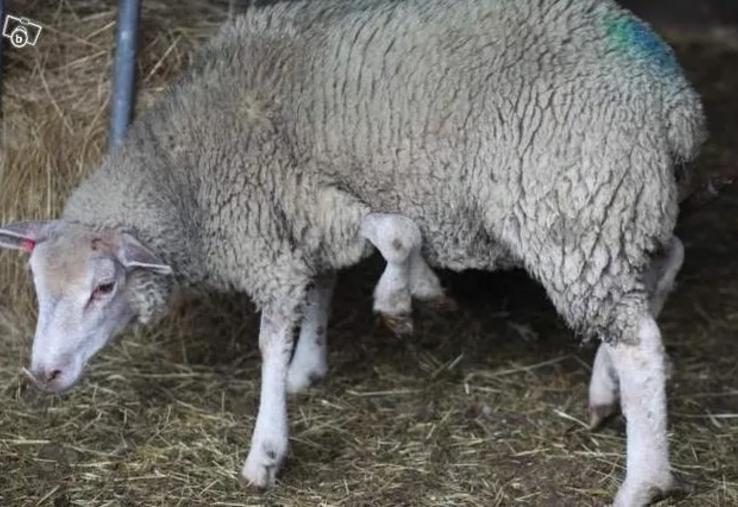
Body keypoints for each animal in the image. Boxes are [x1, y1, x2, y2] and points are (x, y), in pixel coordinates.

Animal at [0, 0, 706, 504]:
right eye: (36, 286)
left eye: (104, 287)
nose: (43, 375)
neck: (185, 173)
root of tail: (674, 101)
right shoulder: (304, 217)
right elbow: (330, 283)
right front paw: (312, 364)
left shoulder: (288, 212)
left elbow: (378, 249)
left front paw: (267, 450)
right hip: (623, 205)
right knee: (663, 266)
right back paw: (606, 392)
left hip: (573, 208)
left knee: (640, 343)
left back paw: (642, 480)